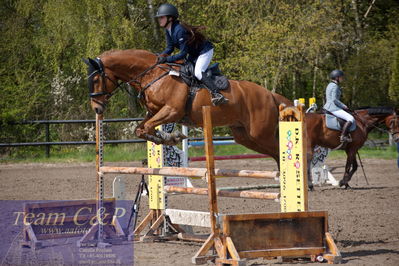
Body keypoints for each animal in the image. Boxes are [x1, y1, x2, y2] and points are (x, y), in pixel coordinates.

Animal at [83, 48, 290, 163]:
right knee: (274, 153)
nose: (97, 109)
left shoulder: (172, 110)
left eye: (96, 80)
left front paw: (169, 137)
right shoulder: (154, 111)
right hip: (245, 136)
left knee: (280, 151)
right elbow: (140, 129)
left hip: (260, 134)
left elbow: (148, 127)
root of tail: (270, 95)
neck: (152, 75)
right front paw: (166, 138)